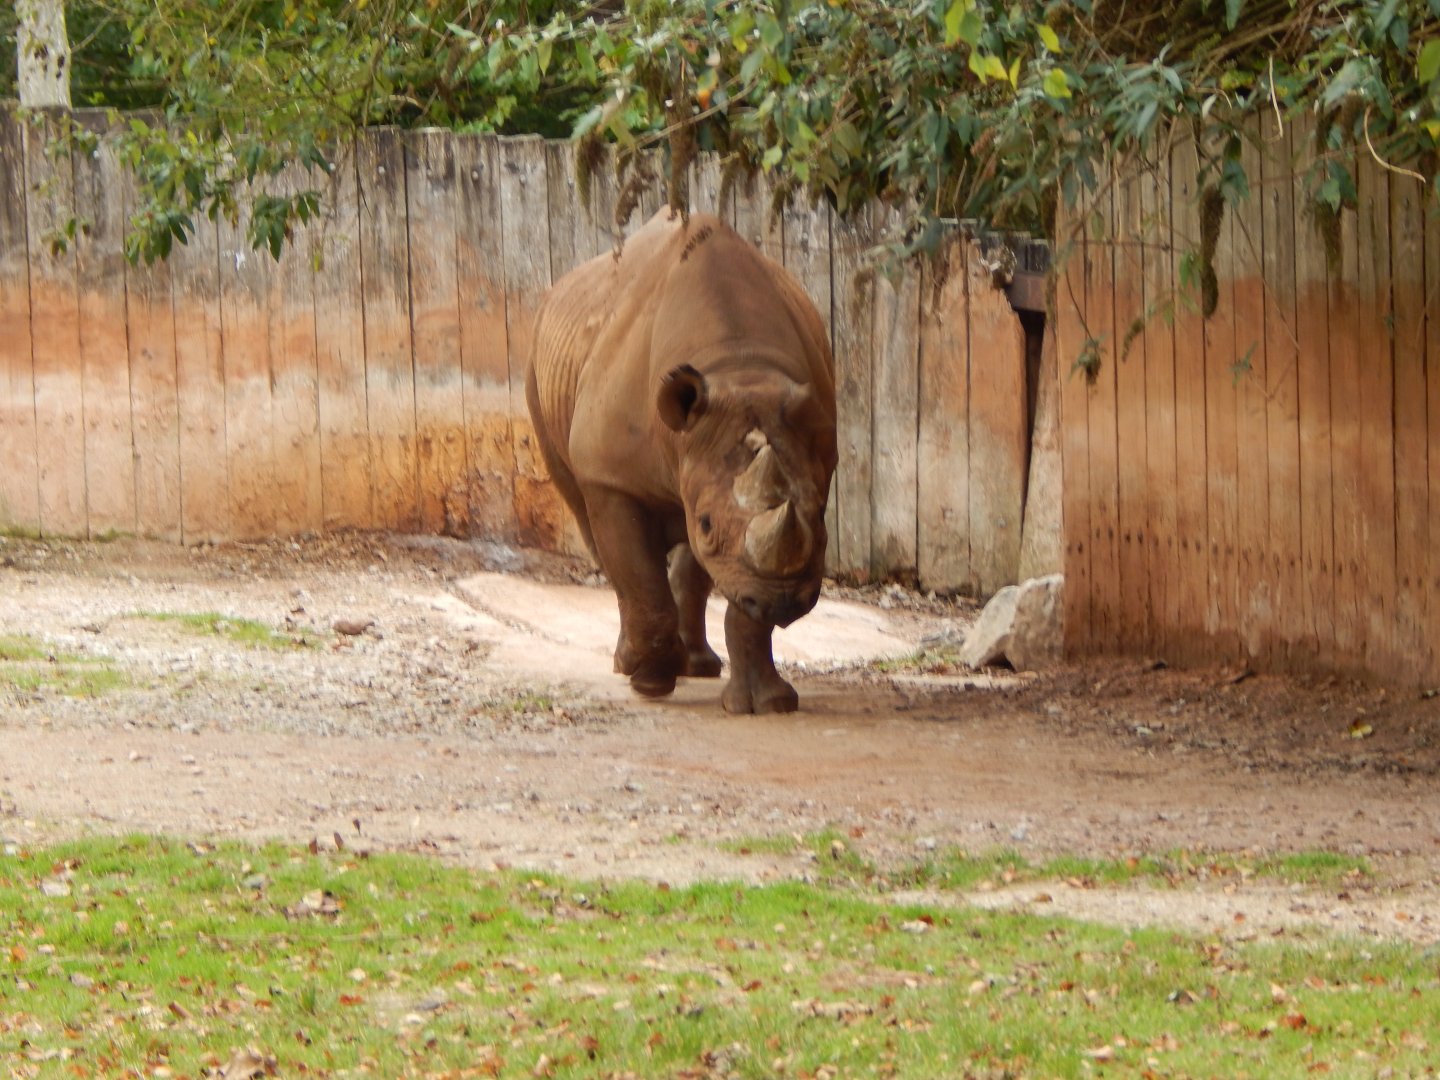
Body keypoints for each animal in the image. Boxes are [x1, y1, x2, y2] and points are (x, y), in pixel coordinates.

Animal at [526, 209, 837, 713]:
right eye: (708, 522)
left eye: (822, 515)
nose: (787, 603)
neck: (738, 367)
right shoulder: (610, 477)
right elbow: (640, 578)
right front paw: (650, 681)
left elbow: (739, 590)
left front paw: (766, 704)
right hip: (539, 367)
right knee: (589, 523)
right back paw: (630, 662)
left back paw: (698, 665)